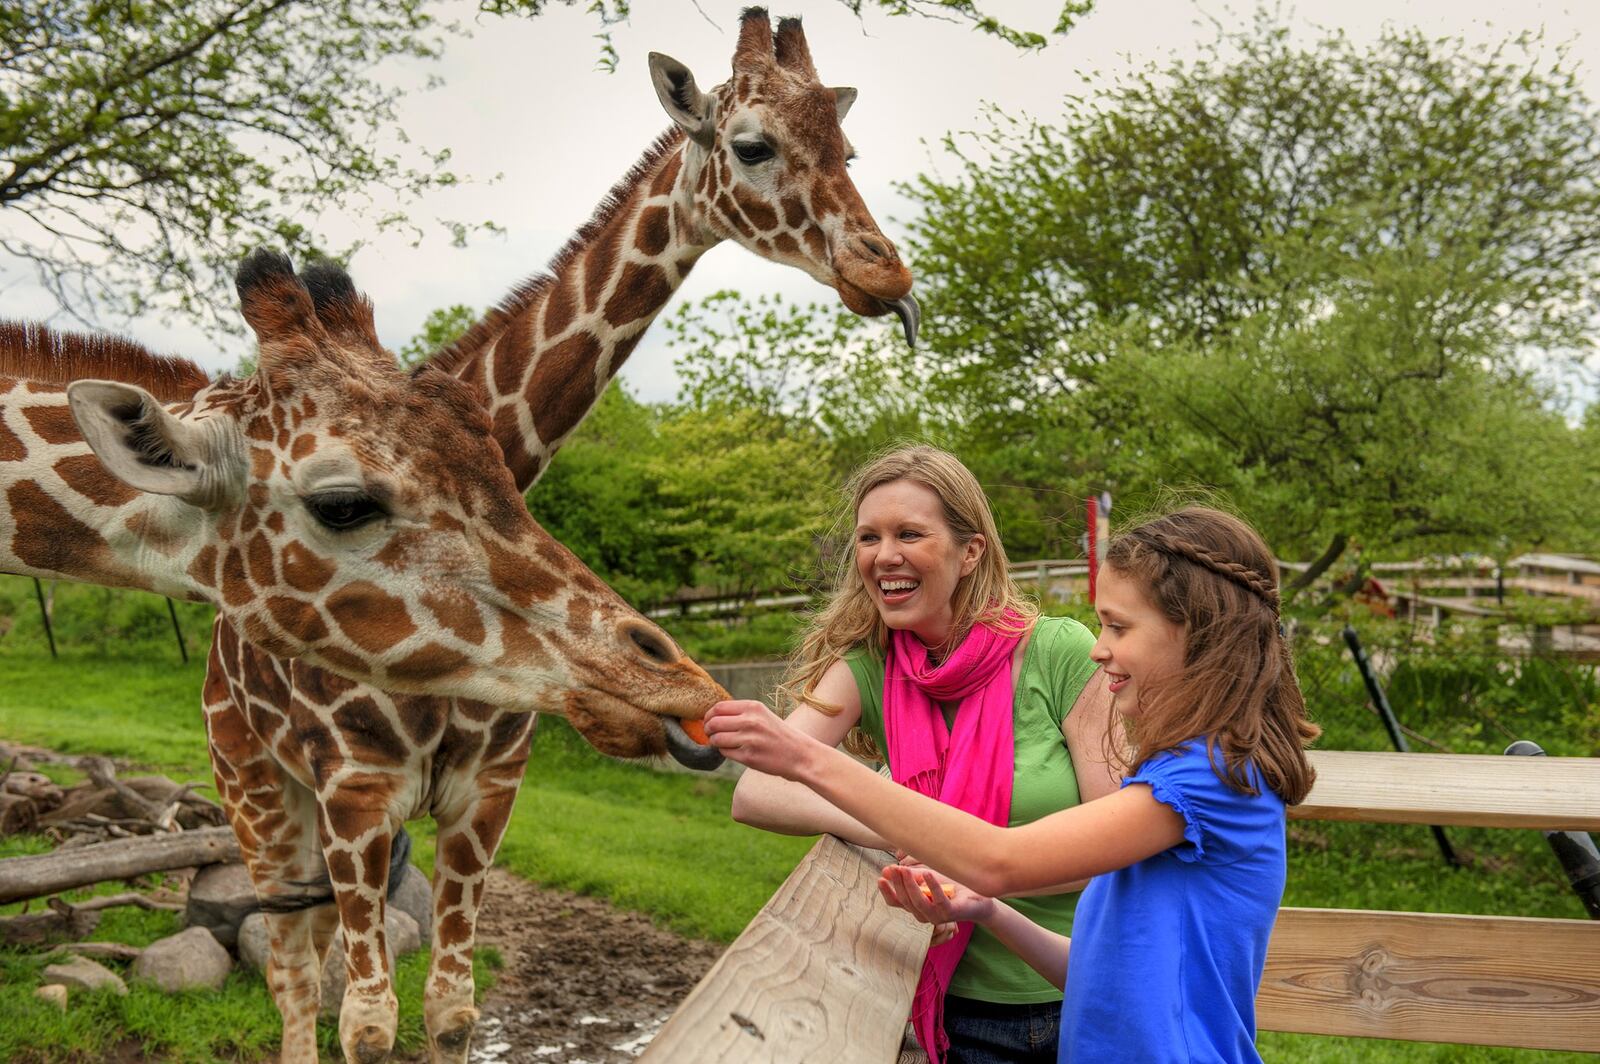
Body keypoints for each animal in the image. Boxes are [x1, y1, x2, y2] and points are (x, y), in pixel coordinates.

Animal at [175, 10, 921, 1062]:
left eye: (847, 149)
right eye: (752, 146)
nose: (884, 271)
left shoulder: (485, 795)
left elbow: (449, 1014)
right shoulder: (357, 794)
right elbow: (368, 1026)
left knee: (307, 959)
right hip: (256, 786)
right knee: (287, 975)